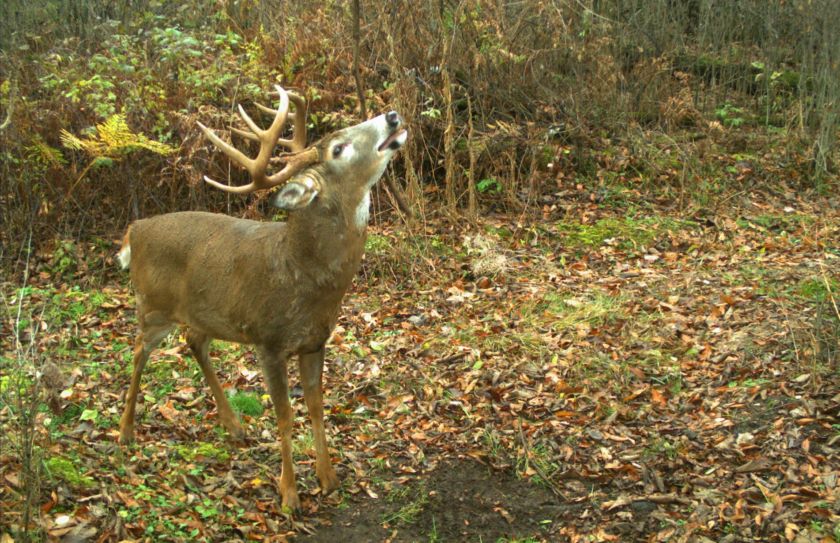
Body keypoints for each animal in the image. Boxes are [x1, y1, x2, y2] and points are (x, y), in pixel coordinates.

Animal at [117, 85, 406, 510]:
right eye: (338, 148)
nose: (392, 116)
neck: (302, 271)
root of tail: (134, 231)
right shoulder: (268, 341)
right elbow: (285, 415)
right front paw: (289, 495)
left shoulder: (315, 341)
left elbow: (317, 407)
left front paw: (328, 479)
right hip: (152, 304)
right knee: (139, 349)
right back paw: (126, 430)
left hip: (201, 312)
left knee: (193, 340)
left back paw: (233, 425)